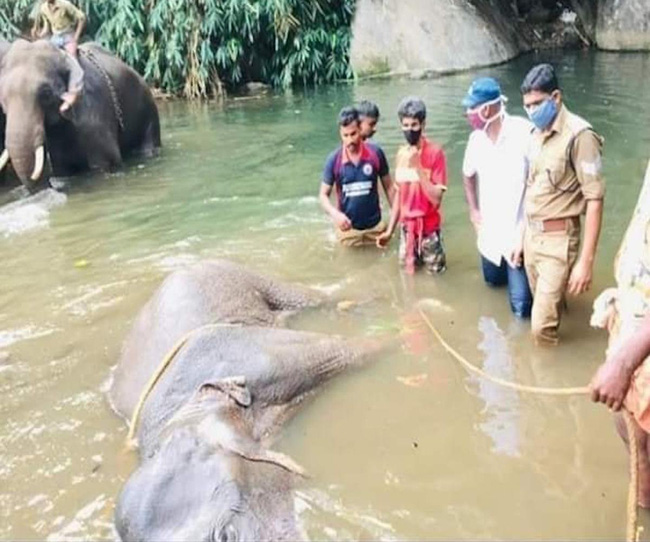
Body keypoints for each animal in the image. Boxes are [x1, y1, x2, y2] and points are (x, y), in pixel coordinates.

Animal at [0, 38, 160, 191]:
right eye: (2, 99)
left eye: (46, 94)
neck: (63, 55)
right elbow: (63, 168)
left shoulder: (94, 112)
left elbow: (106, 161)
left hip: (149, 111)